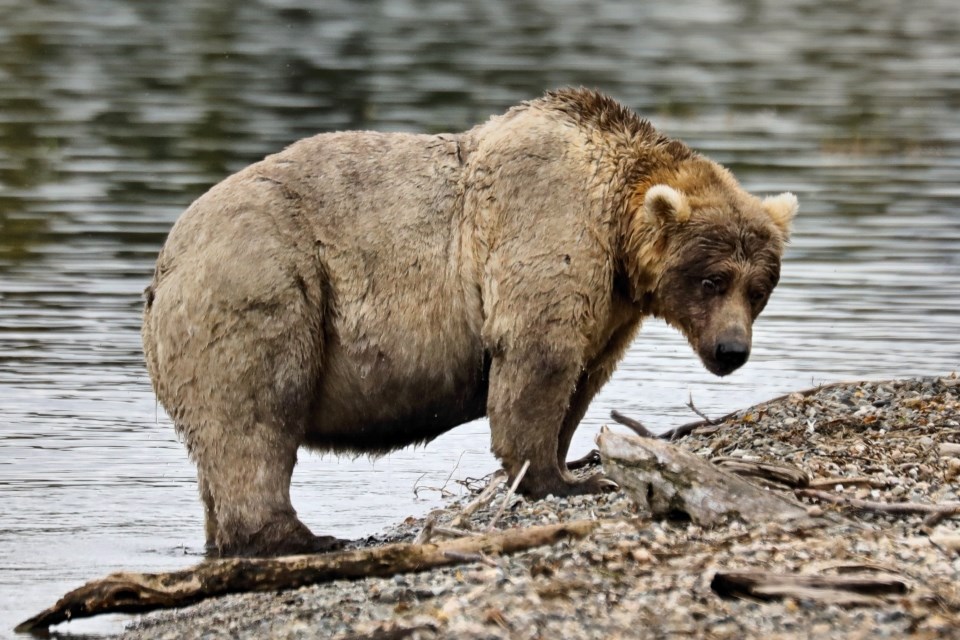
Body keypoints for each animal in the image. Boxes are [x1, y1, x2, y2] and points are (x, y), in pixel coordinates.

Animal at [142, 89, 800, 556]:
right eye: (711, 280)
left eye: (759, 288)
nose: (731, 349)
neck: (617, 230)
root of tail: (166, 261)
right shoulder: (547, 222)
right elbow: (538, 355)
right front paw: (560, 478)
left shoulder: (612, 307)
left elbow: (582, 377)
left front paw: (570, 460)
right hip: (264, 283)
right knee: (256, 414)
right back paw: (300, 537)